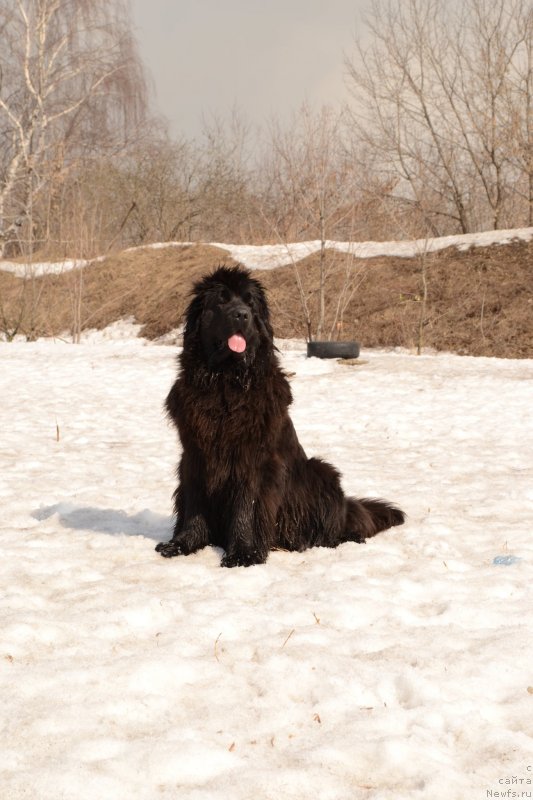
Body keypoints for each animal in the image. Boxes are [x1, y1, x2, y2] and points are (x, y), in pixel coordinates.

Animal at [155, 266, 404, 564]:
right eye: (221, 301)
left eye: (250, 303)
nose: (242, 315)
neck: (226, 381)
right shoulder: (195, 454)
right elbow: (194, 502)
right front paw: (182, 544)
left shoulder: (254, 458)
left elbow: (247, 506)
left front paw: (244, 553)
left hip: (321, 471)